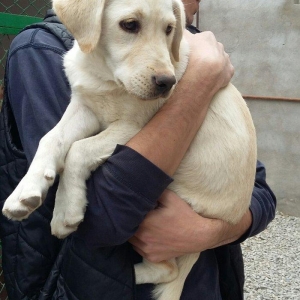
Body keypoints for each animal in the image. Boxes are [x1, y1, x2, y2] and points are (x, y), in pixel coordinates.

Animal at [1, 0, 255, 298]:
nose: (168, 83)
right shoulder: (85, 108)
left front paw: (67, 211)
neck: (105, 76)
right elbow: (51, 138)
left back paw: (128, 275)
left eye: (169, 29)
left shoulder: (133, 126)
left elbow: (79, 149)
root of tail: (225, 220)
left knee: (170, 269)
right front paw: (25, 192)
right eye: (130, 25)